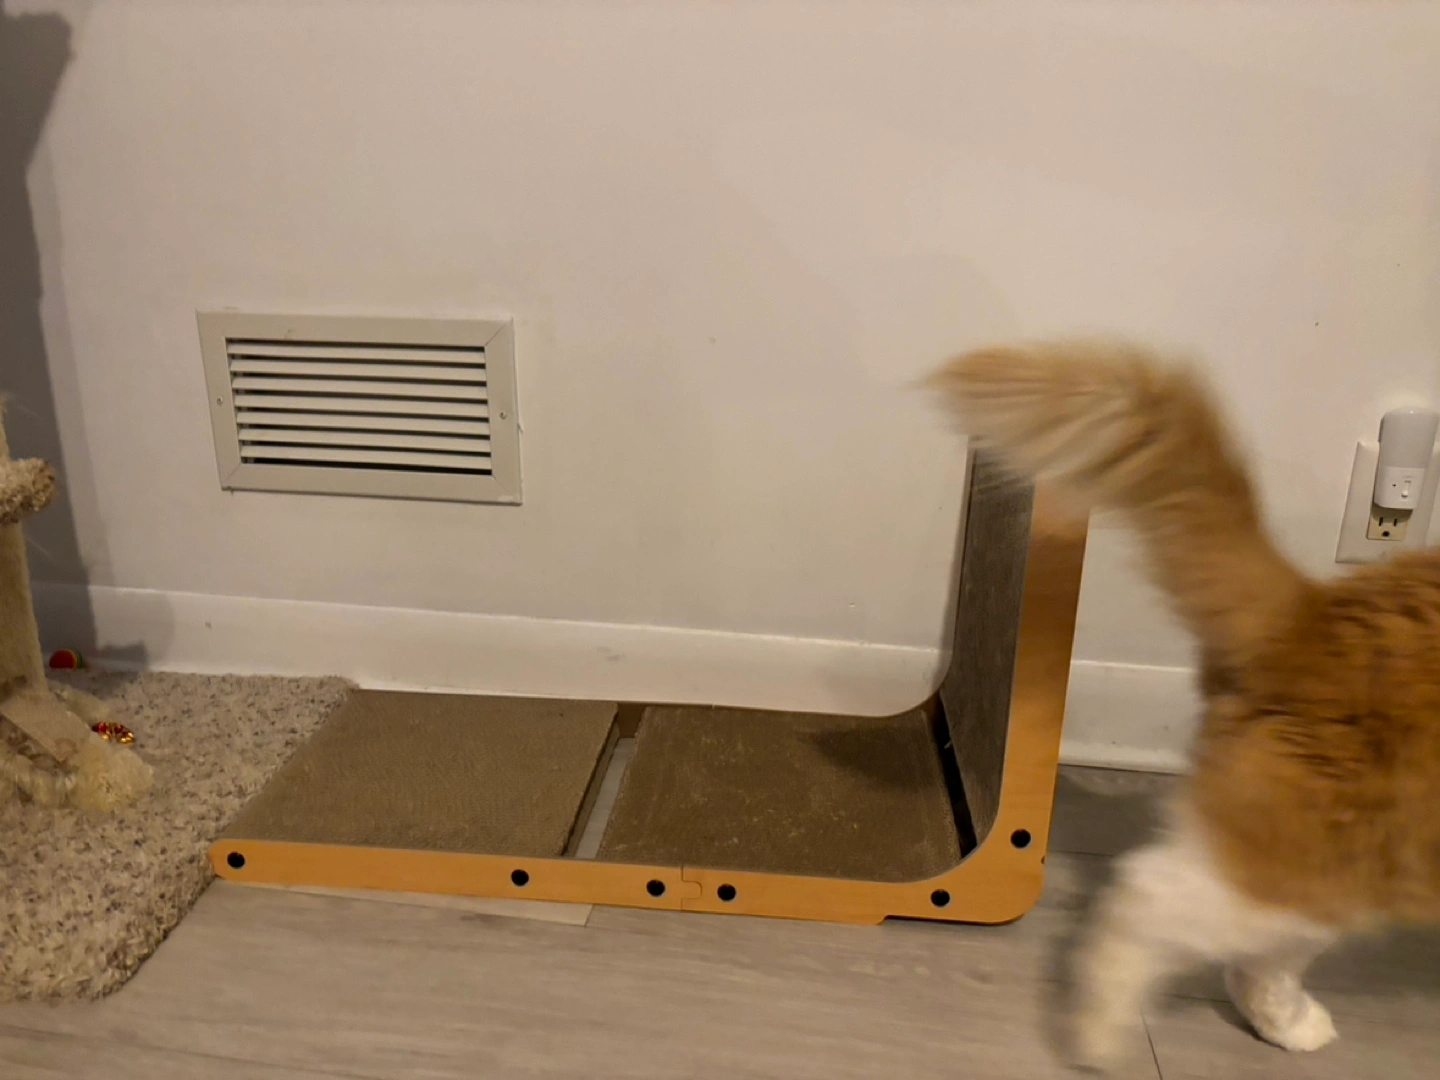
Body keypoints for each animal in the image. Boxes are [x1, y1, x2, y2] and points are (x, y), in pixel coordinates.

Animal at [929, 340, 1440, 1070]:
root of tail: (1309, 617)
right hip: (1325, 855)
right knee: (1148, 897)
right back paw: (1100, 1036)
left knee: (1258, 956)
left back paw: (1290, 1026)